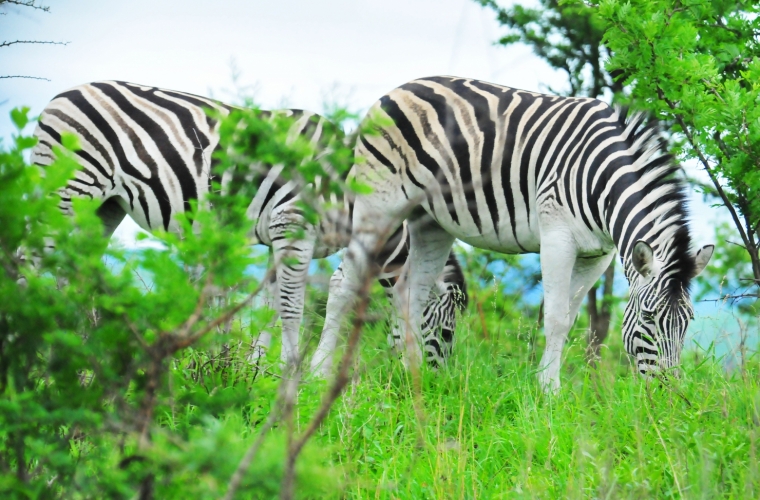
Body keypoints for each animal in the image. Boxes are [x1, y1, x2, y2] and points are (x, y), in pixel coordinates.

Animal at [29, 79, 466, 376]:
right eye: (447, 335)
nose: (438, 386)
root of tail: (60, 96)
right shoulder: (291, 224)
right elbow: (291, 308)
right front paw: (290, 372)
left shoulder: (278, 238)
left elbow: (270, 309)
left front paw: (259, 372)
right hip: (67, 190)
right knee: (31, 261)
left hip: (102, 207)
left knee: (70, 274)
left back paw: (71, 354)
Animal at [326, 76, 712, 392]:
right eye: (648, 317)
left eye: (688, 321)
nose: (668, 392)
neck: (602, 182)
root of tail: (400, 88)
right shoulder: (557, 237)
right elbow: (555, 318)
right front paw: (549, 393)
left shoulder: (597, 255)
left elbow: (569, 319)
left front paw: (546, 386)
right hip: (377, 202)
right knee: (343, 283)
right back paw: (319, 373)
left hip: (430, 222)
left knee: (410, 294)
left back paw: (413, 376)